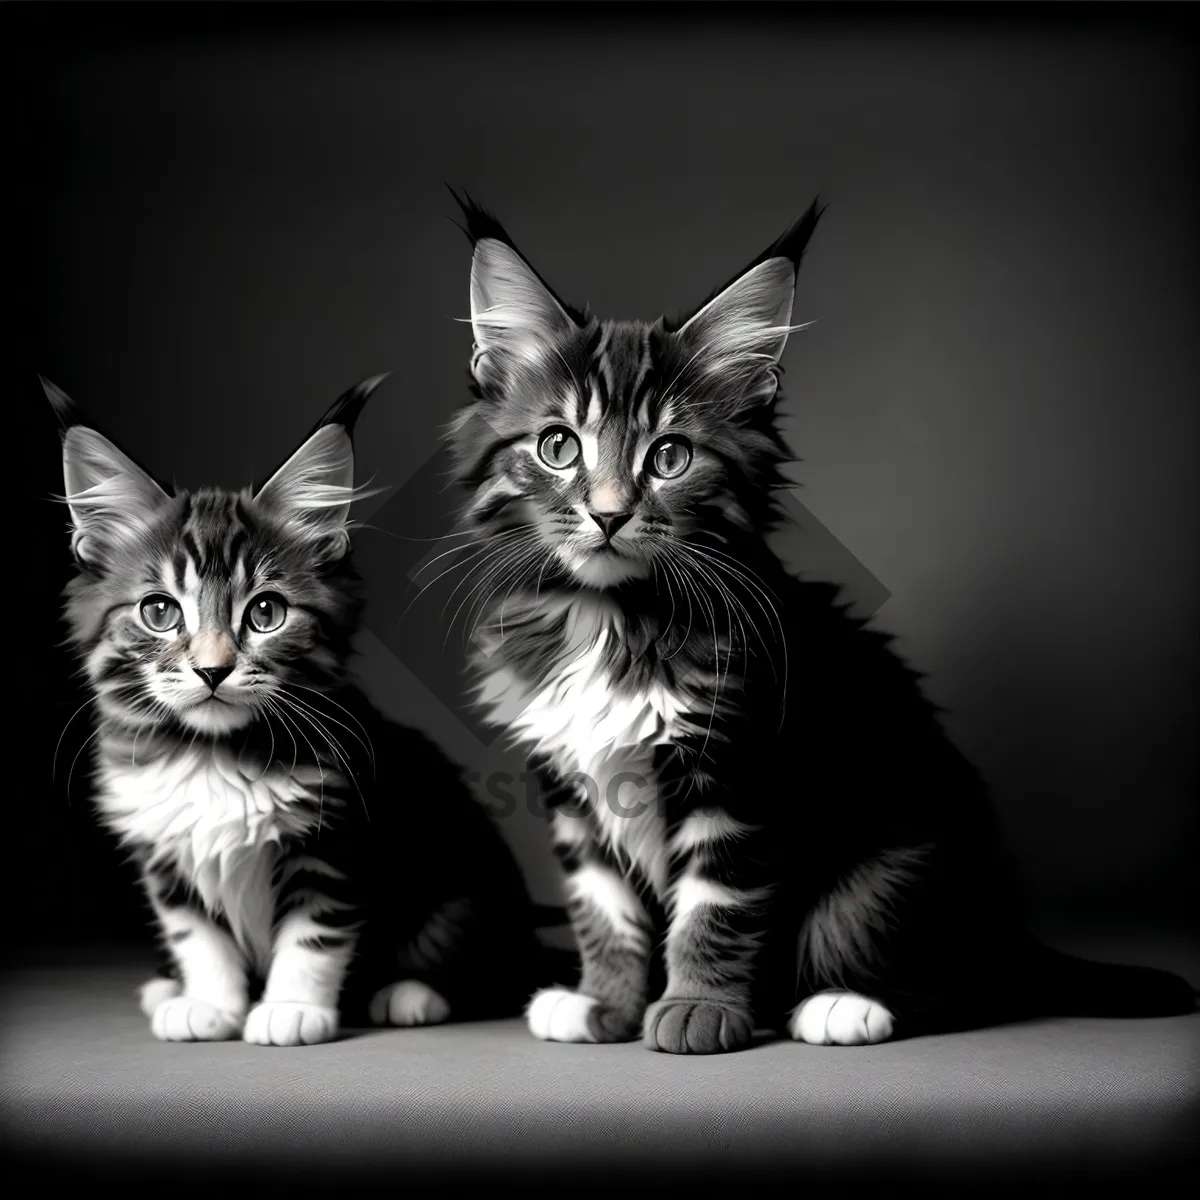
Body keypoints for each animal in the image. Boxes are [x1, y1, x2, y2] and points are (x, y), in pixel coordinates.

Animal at [46, 376, 542, 1051]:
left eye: (265, 613)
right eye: (159, 611)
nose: (212, 670)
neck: (213, 753)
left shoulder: (336, 840)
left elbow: (312, 936)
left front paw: (290, 1009)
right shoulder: (164, 855)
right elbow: (198, 938)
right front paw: (210, 1004)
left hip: (466, 880)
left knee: (487, 966)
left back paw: (410, 995)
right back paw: (166, 990)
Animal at [446, 194, 1195, 1051]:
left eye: (669, 458)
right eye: (558, 446)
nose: (607, 515)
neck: (611, 617)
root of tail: (1009, 925)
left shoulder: (741, 771)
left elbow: (713, 905)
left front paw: (697, 1008)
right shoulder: (572, 791)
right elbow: (602, 906)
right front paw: (604, 1002)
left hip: (899, 863)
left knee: (962, 982)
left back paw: (846, 1004)